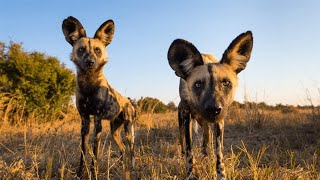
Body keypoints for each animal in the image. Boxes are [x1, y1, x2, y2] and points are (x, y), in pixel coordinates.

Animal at [61, 16, 135, 179]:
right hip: (114, 132)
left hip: (129, 132)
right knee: (123, 149)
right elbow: (83, 153)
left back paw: (132, 168)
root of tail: (129, 101)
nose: (90, 62)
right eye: (81, 49)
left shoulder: (97, 121)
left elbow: (94, 154)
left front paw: (94, 173)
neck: (89, 84)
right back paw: (122, 165)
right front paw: (80, 174)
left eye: (97, 50)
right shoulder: (85, 121)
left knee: (132, 150)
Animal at [168, 31, 252, 179]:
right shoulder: (186, 115)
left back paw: (206, 158)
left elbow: (219, 153)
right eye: (198, 84)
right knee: (184, 143)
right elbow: (189, 152)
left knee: (206, 141)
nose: (213, 109)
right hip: (184, 123)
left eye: (226, 82)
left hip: (205, 123)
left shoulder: (220, 121)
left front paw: (221, 175)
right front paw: (190, 175)